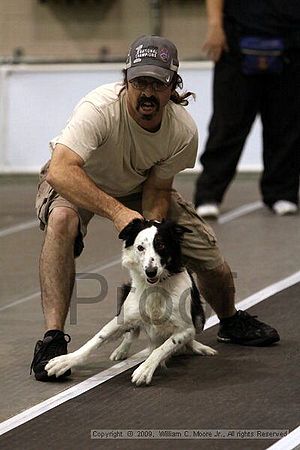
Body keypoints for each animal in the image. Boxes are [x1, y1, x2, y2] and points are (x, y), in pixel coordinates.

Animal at [46, 220, 216, 384]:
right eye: (140, 247)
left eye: (161, 245)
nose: (150, 271)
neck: (155, 287)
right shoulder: (122, 318)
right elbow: (97, 339)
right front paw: (65, 361)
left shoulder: (186, 329)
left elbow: (164, 347)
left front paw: (145, 370)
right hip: (125, 294)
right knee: (131, 334)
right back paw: (121, 351)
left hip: (199, 317)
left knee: (185, 340)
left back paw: (199, 347)